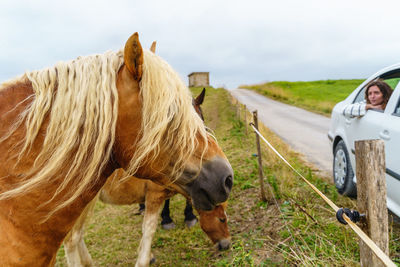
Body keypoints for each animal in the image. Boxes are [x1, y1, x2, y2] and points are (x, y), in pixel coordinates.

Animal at [63, 169, 230, 266]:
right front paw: (143, 260)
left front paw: (148, 256)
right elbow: (149, 229)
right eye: (222, 219)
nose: (226, 245)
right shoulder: (154, 196)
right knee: (72, 238)